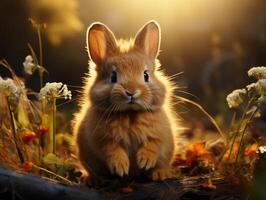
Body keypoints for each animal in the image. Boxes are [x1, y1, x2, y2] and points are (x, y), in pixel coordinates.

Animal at [72, 20, 181, 181]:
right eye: (113, 77)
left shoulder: (159, 136)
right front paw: (120, 167)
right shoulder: (102, 139)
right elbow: (112, 149)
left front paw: (145, 161)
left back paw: (160, 174)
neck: (130, 114)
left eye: (146, 75)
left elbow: (153, 145)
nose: (131, 92)